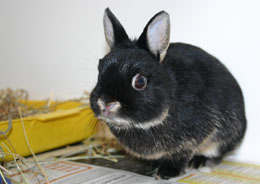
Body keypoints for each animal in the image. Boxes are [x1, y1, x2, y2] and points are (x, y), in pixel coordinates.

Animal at [90, 8, 247, 178]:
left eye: (140, 81)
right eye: (99, 72)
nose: (106, 103)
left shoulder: (189, 142)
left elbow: (180, 156)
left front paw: (166, 173)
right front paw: (155, 167)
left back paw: (199, 163)